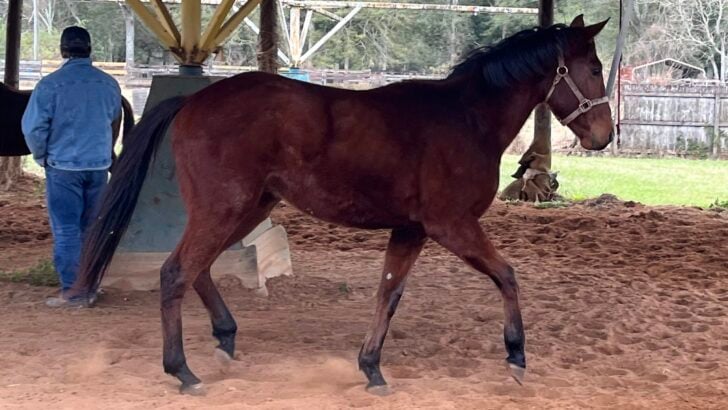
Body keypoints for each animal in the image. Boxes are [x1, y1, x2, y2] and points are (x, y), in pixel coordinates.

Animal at [74, 15, 613, 395]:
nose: (605, 136)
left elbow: (388, 293)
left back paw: (225, 340)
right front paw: (516, 356)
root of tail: (191, 102)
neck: (465, 119)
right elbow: (506, 275)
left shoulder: (411, 230)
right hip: (224, 208)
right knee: (176, 273)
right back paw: (183, 371)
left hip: (248, 210)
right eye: (593, 68)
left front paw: (371, 368)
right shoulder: (452, 225)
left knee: (198, 269)